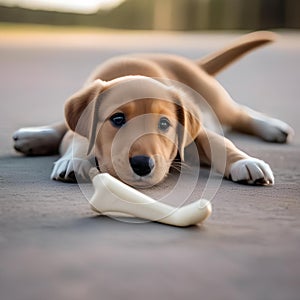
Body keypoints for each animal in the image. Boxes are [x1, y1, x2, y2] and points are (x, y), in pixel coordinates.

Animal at [13, 32, 292, 188]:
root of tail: (192, 63)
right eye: (117, 119)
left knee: (239, 111)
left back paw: (273, 127)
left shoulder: (196, 131)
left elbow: (222, 142)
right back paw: (33, 136)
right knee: (61, 126)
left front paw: (246, 162)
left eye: (165, 124)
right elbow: (78, 139)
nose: (141, 165)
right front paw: (74, 161)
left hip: (213, 98)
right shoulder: (82, 125)